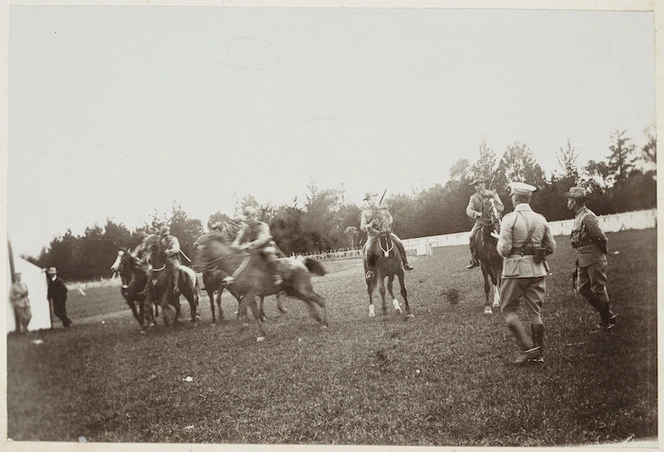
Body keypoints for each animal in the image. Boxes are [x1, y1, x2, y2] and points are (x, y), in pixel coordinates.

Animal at [192, 231, 326, 340]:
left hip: (303, 289)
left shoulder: (252, 292)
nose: (194, 267)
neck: (236, 264)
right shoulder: (249, 296)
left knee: (320, 300)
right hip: (294, 291)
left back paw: (325, 323)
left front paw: (243, 327)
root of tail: (301, 262)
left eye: (199, 250)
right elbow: (254, 313)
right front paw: (262, 334)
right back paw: (318, 319)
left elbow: (242, 308)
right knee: (310, 301)